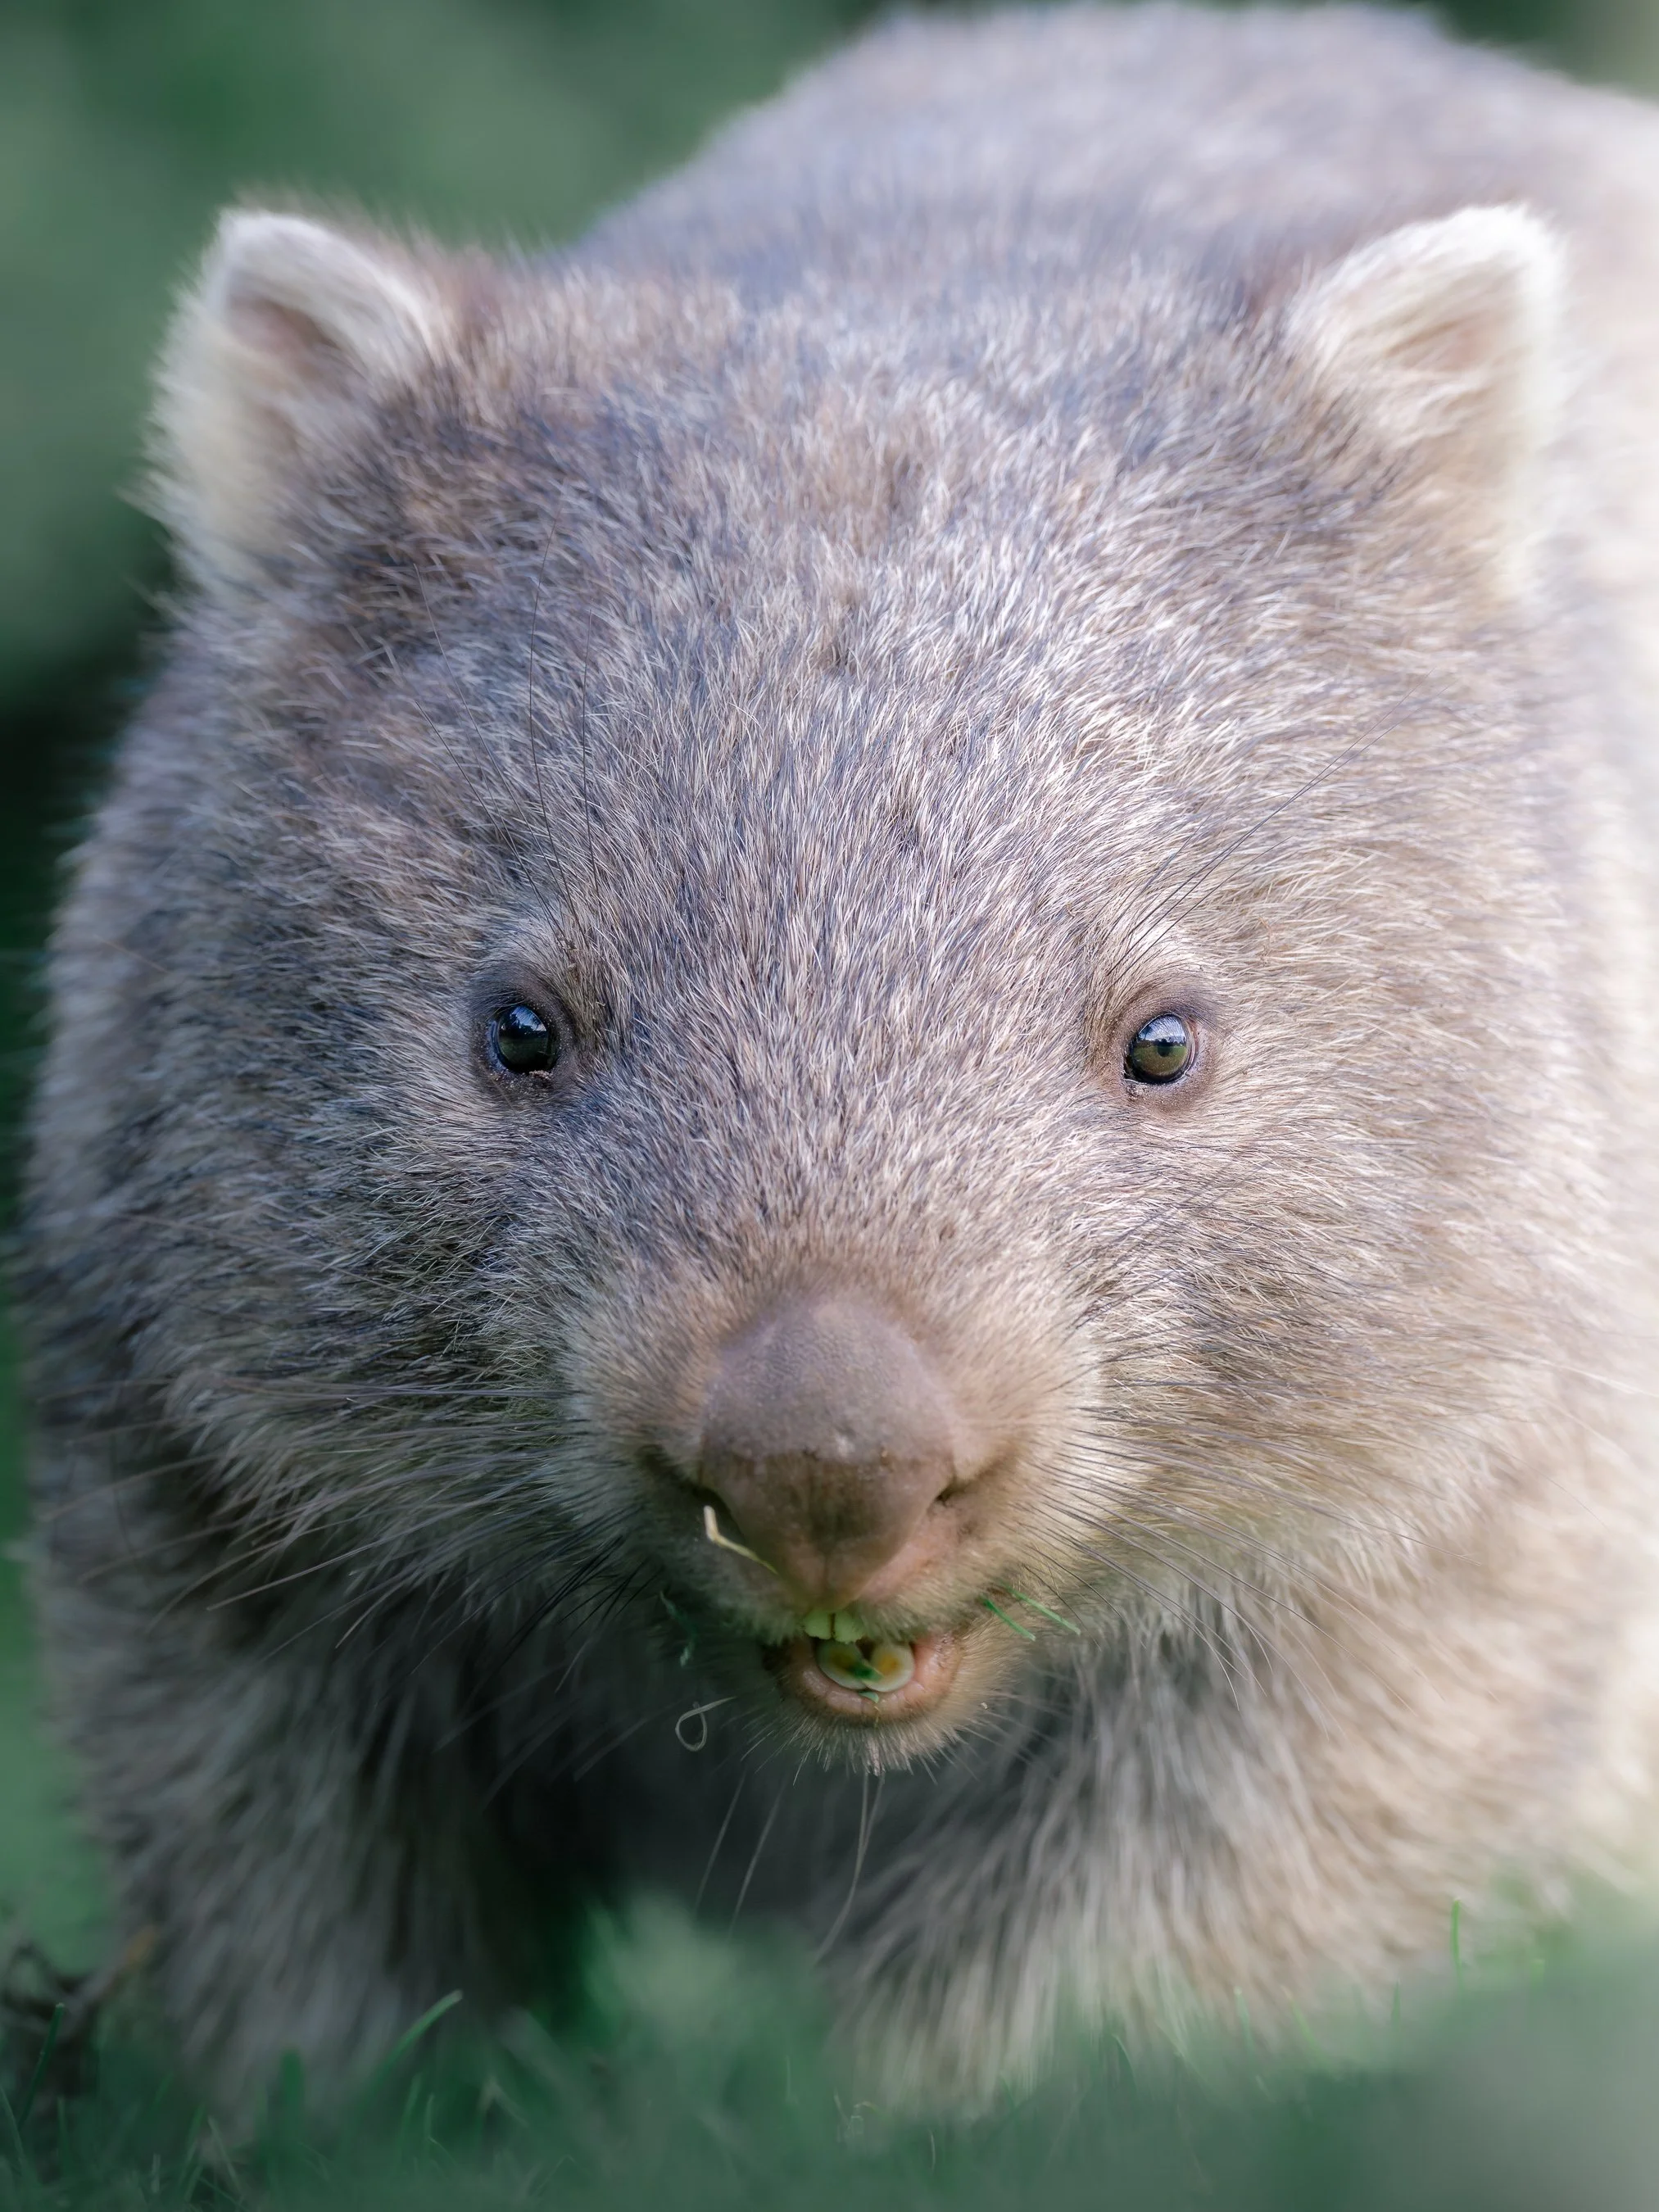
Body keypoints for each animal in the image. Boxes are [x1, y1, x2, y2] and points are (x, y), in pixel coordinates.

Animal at [21, 2, 1659, 2114]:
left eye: (1161, 1045)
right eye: (520, 1032)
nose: (824, 1466)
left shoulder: (1469, 1490)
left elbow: (1209, 1881)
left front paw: (955, 2107)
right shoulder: (193, 1438)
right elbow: (291, 1862)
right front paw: (359, 2110)